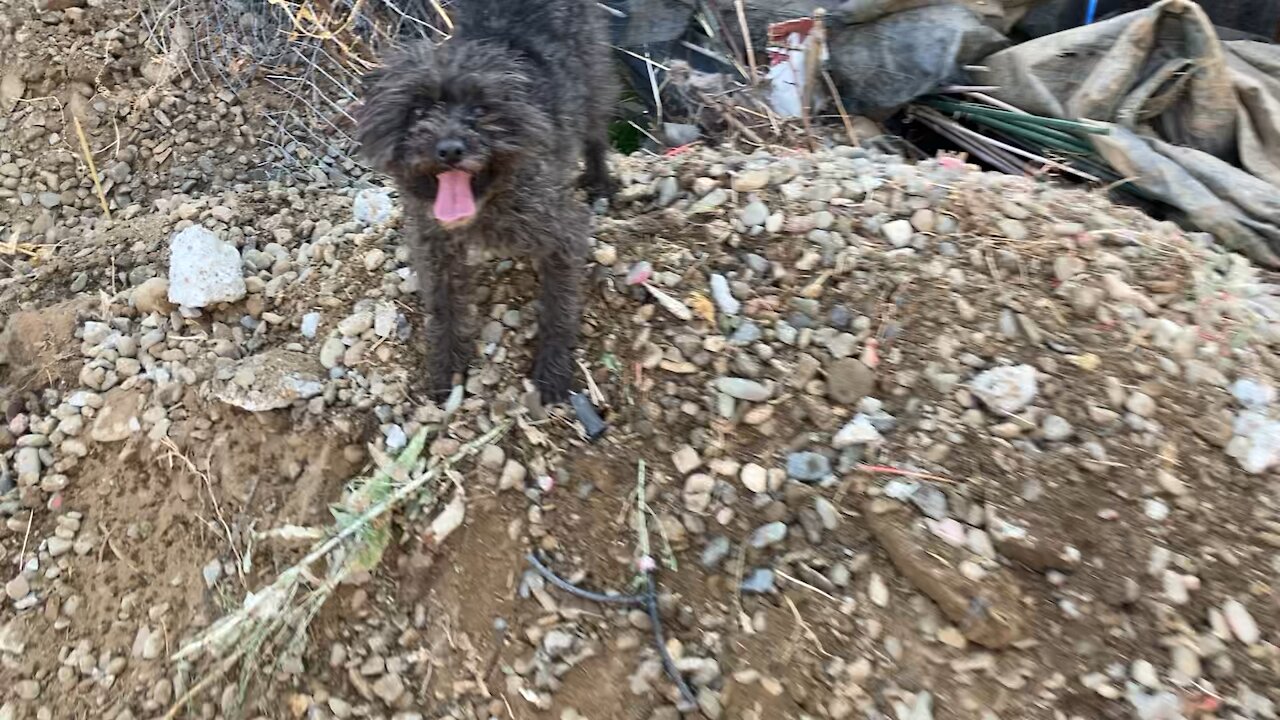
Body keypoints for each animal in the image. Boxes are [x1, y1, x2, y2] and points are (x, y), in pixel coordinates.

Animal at [355, 0, 614, 404]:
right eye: (417, 111)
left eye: (480, 110)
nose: (449, 149)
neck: (487, 201)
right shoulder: (435, 247)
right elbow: (444, 307)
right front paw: (446, 368)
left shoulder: (563, 233)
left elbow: (559, 307)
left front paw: (553, 369)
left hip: (594, 79)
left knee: (597, 132)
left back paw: (600, 181)